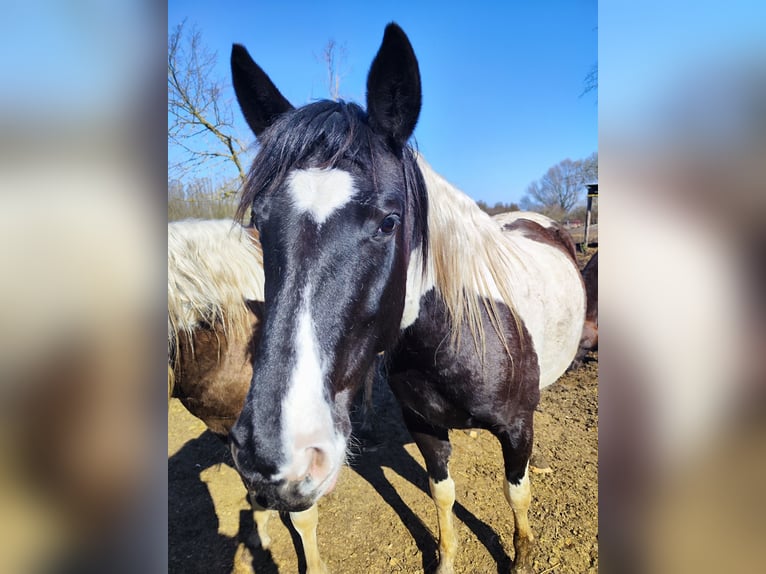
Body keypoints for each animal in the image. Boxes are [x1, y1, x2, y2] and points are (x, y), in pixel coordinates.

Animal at [228, 22, 586, 574]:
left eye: (389, 222)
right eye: (259, 223)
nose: (274, 460)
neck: (460, 336)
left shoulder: (517, 428)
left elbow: (517, 493)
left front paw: (522, 554)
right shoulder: (423, 424)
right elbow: (442, 494)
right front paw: (446, 559)